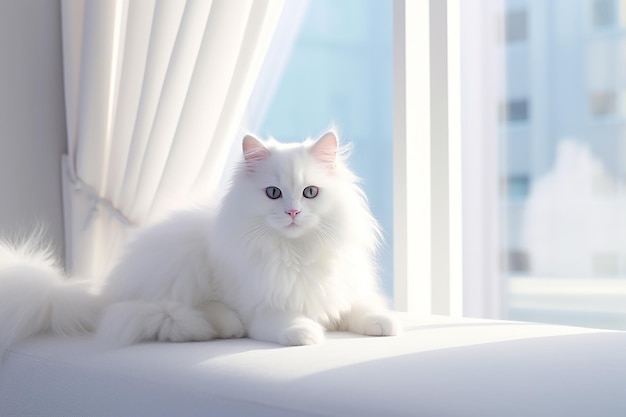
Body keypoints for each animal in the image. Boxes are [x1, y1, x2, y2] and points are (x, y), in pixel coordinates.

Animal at [0, 132, 400, 352]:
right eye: (273, 193)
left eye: (310, 192)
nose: (292, 212)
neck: (296, 251)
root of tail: (98, 297)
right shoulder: (261, 309)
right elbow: (286, 322)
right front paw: (307, 332)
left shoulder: (338, 292)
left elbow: (362, 309)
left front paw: (387, 324)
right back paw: (221, 326)